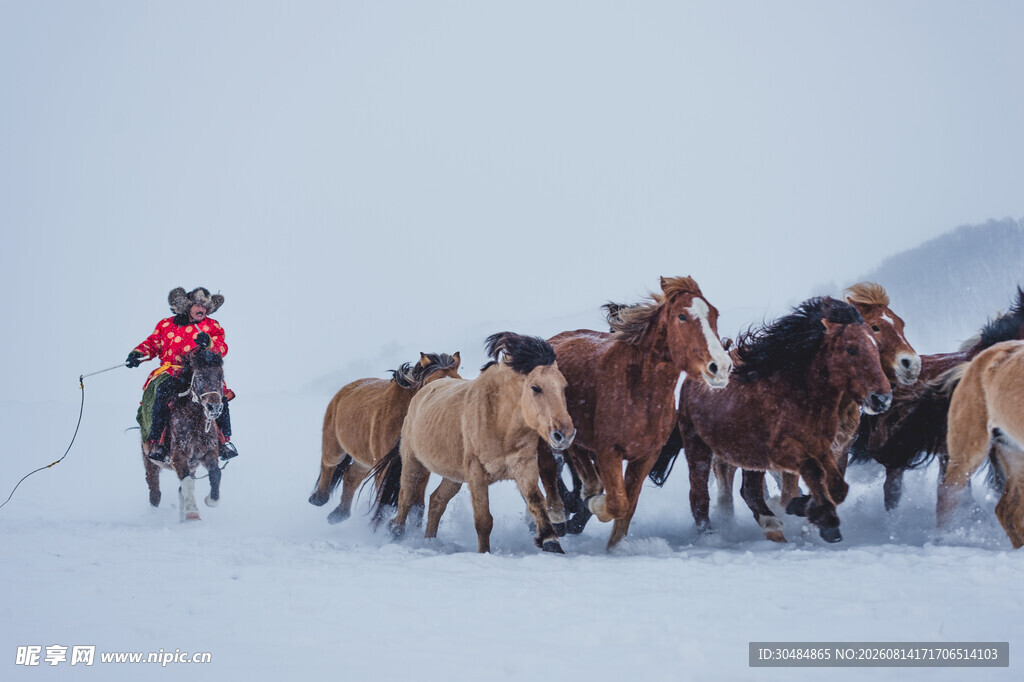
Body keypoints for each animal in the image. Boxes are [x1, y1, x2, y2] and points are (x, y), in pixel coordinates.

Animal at [142, 348, 226, 521]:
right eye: (199, 377)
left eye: (221, 377)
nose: (214, 407)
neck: (195, 421)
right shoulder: (178, 455)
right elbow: (187, 483)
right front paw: (192, 513)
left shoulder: (209, 452)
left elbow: (215, 474)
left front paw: (210, 500)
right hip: (150, 462)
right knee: (155, 493)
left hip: (192, 465)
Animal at [308, 352, 462, 524]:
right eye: (429, 383)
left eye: (458, 380)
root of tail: (345, 390)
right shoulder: (386, 468)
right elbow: (384, 502)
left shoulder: (421, 471)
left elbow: (417, 506)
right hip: (336, 448)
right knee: (329, 464)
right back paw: (318, 498)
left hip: (365, 459)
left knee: (350, 476)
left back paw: (339, 514)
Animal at [371, 332, 575, 553]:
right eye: (535, 387)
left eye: (564, 387)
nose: (564, 434)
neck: (499, 423)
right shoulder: (477, 472)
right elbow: (483, 520)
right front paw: (484, 552)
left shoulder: (524, 465)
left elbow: (536, 501)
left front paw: (551, 542)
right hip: (413, 462)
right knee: (405, 498)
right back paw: (397, 534)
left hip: (453, 476)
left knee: (436, 501)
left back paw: (430, 541)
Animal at [540, 276, 732, 549]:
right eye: (682, 316)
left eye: (714, 314)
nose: (721, 367)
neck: (639, 394)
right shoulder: (609, 451)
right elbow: (617, 503)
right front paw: (595, 504)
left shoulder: (646, 456)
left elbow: (627, 510)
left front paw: (614, 548)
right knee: (555, 468)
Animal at [672, 297, 891, 542]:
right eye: (850, 349)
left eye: (877, 348)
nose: (881, 399)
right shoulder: (784, 453)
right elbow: (809, 475)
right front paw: (820, 518)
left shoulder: (827, 449)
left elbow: (836, 487)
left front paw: (810, 511)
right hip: (698, 446)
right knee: (701, 496)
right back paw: (723, 534)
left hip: (744, 456)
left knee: (745, 490)